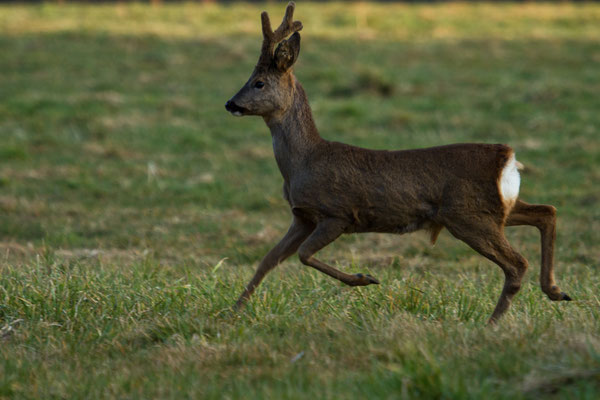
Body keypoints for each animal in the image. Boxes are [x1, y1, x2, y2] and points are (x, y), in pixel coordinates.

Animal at [225, 1, 572, 324]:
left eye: (259, 82)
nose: (230, 103)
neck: (302, 162)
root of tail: (508, 158)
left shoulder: (336, 212)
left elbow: (303, 254)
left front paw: (365, 279)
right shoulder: (302, 216)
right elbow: (268, 260)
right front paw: (232, 311)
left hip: (468, 215)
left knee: (517, 263)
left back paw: (493, 322)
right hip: (497, 210)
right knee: (547, 212)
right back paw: (556, 291)